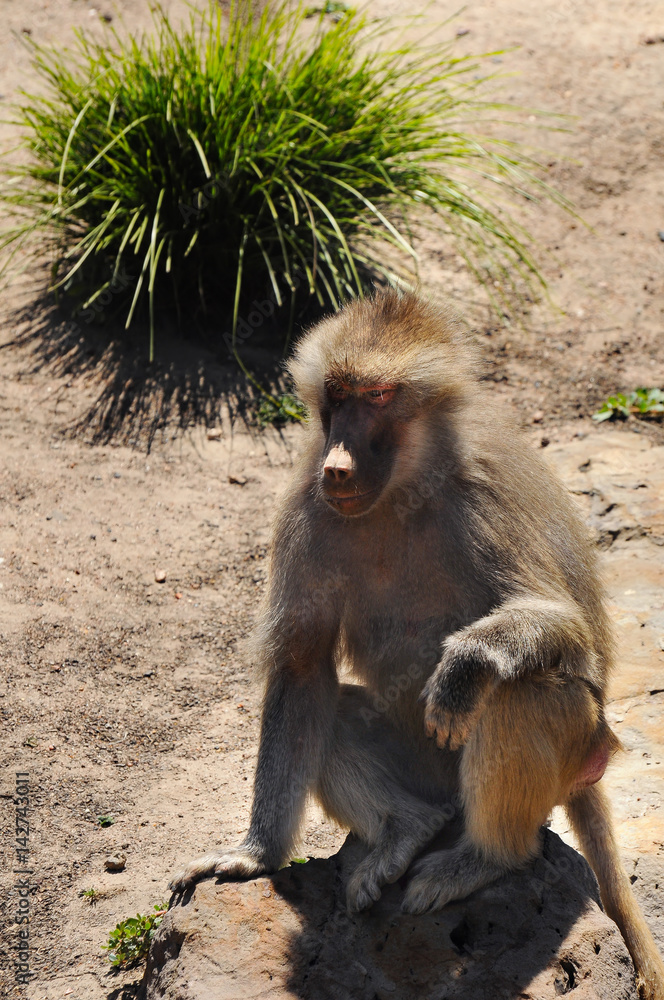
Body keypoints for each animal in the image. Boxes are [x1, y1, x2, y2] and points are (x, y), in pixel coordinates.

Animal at [170, 290, 664, 999]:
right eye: (339, 395)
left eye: (377, 397)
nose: (337, 465)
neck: (404, 486)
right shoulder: (308, 506)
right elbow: (301, 667)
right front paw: (252, 856)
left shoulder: (484, 498)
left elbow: (567, 627)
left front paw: (466, 664)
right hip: (429, 772)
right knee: (335, 711)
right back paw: (405, 832)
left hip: (574, 745)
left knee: (519, 694)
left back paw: (484, 856)